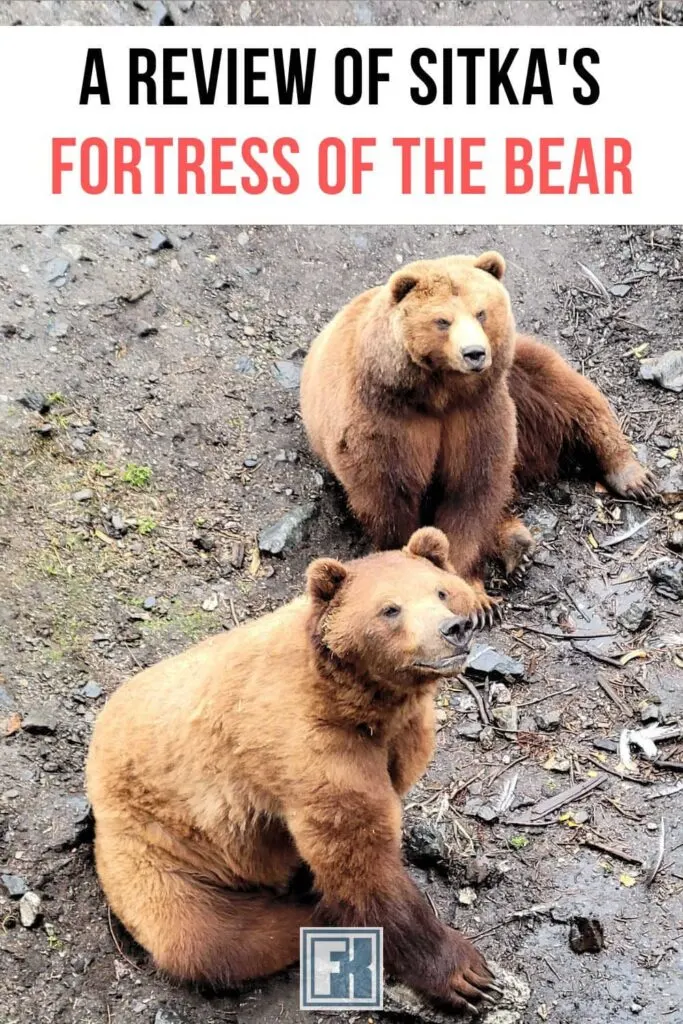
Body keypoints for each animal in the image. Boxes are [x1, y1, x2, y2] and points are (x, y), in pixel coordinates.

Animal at [85, 532, 497, 1011]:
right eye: (390, 609)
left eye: (441, 591)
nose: (453, 629)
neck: (363, 704)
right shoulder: (310, 751)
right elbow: (361, 861)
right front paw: (466, 974)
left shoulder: (400, 740)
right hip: (156, 848)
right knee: (206, 936)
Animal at [301, 249, 655, 614]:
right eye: (442, 321)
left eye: (481, 313)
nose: (474, 353)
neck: (438, 393)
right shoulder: (385, 423)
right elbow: (391, 497)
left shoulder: (479, 411)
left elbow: (472, 490)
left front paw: (473, 592)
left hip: (521, 384)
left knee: (570, 396)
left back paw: (631, 477)